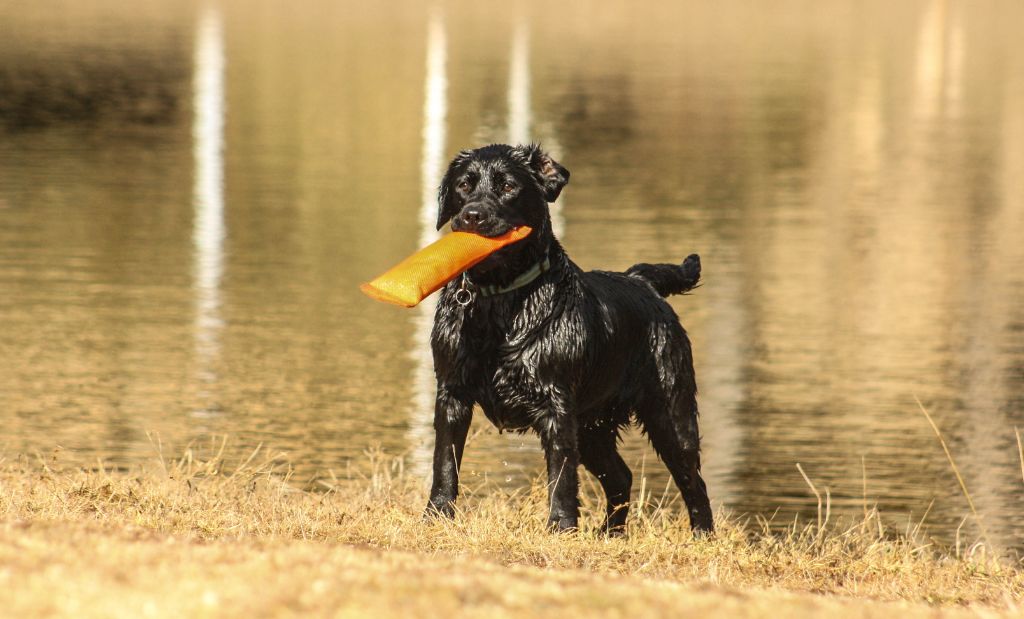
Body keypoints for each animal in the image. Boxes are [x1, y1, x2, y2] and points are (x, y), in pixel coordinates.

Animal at [423, 142, 712, 532]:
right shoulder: (452, 394)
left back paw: (703, 536)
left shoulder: (556, 403)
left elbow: (561, 476)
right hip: (592, 426)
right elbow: (445, 462)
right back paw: (609, 534)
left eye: (508, 186)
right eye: (463, 185)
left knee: (693, 482)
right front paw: (436, 515)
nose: (472, 216)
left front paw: (560, 527)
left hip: (669, 412)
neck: (500, 302)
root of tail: (641, 281)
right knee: (621, 477)